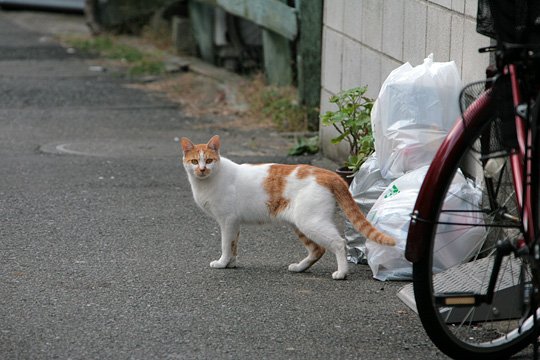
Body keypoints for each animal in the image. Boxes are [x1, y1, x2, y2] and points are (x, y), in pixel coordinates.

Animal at [179, 134, 394, 278]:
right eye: (194, 161)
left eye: (208, 160)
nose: (202, 169)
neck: (207, 182)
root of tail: (327, 173)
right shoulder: (234, 223)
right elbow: (234, 244)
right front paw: (231, 262)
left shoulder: (227, 220)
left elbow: (225, 244)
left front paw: (222, 262)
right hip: (298, 224)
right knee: (317, 250)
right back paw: (299, 267)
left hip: (311, 222)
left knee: (338, 243)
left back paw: (341, 273)